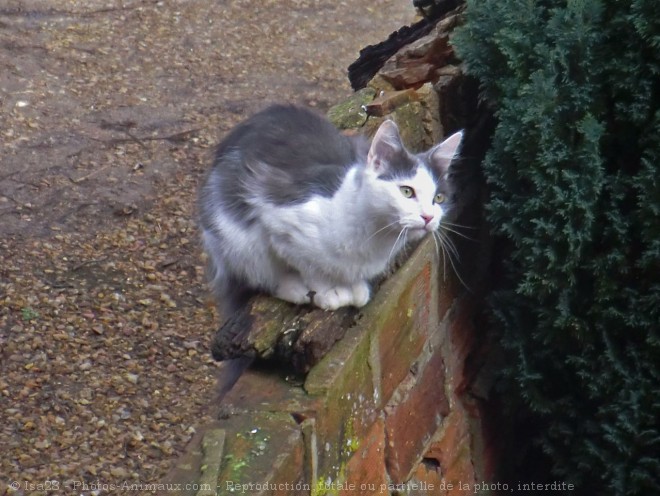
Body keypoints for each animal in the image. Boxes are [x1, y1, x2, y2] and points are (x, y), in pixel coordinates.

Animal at [199, 104, 462, 314]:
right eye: (407, 191)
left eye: (439, 198)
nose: (428, 217)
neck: (374, 240)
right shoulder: (281, 227)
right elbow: (310, 268)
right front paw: (329, 292)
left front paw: (356, 286)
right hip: (234, 240)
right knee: (259, 276)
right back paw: (294, 288)